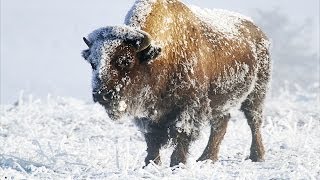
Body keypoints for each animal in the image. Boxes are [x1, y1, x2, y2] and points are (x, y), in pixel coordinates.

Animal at [82, 0, 270, 167]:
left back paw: (257, 156)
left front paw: (177, 164)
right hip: (221, 101)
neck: (158, 57)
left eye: (126, 60)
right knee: (220, 124)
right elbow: (152, 139)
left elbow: (181, 134)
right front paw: (151, 164)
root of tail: (259, 32)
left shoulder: (188, 108)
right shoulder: (148, 114)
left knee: (253, 121)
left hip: (256, 93)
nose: (101, 94)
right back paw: (207, 159)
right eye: (93, 63)